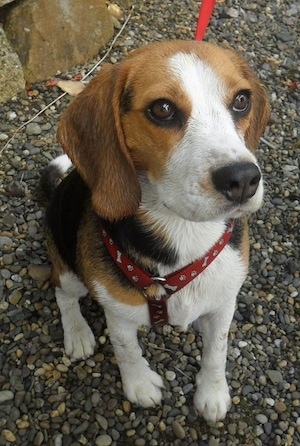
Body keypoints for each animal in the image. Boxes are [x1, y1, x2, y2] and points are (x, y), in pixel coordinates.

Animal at [38, 40, 270, 424]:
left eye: (241, 100)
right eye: (162, 109)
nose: (242, 179)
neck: (183, 228)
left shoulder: (225, 302)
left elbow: (217, 350)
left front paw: (212, 393)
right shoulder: (117, 311)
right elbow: (126, 349)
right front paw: (140, 385)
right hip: (69, 268)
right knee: (62, 292)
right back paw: (78, 334)